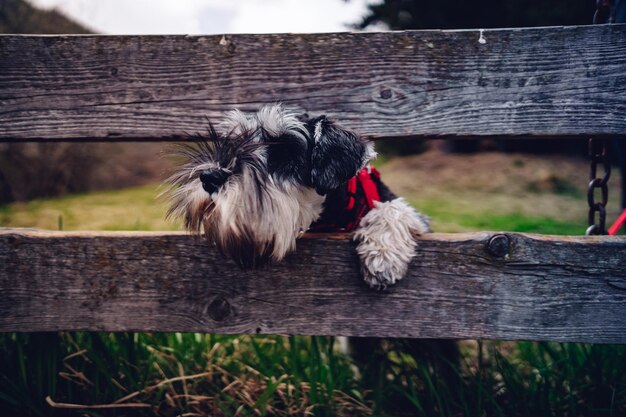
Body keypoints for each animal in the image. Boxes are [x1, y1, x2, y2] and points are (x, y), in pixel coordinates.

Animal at [163, 103, 432, 290]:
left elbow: (393, 210)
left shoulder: (409, 212)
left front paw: (382, 259)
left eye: (284, 152)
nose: (209, 177)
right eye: (237, 140)